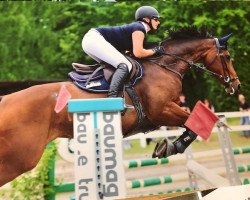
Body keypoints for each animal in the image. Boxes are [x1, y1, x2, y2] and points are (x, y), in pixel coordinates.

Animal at [0, 26, 240, 186]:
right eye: (228, 56)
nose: (236, 85)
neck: (164, 66)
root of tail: (5, 101)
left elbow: (192, 124)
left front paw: (167, 147)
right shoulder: (162, 111)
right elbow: (191, 125)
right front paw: (172, 147)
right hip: (20, 158)